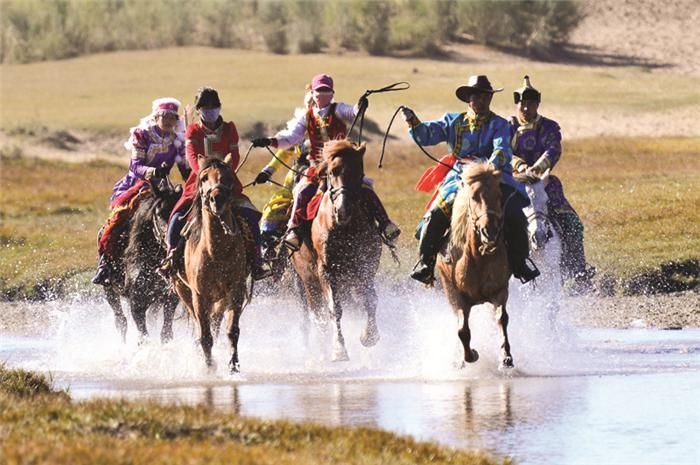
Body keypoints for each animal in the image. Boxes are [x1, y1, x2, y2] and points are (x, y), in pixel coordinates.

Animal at [102, 179, 183, 342]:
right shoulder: (137, 303)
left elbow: (166, 333)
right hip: (109, 290)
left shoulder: (170, 298)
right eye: (159, 213)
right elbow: (143, 337)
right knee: (121, 321)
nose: (173, 241)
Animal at [174, 156, 250, 374]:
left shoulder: (235, 290)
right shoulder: (199, 296)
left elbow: (232, 330)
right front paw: (209, 368)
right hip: (184, 292)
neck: (216, 252)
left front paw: (233, 366)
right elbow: (205, 336)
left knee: (216, 323)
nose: (218, 199)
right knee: (200, 327)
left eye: (228, 177)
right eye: (204, 178)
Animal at [292, 140, 382, 360]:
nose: (343, 210)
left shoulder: (366, 267)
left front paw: (369, 335)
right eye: (332, 172)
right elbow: (335, 308)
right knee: (317, 315)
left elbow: (370, 300)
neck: (345, 228)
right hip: (308, 281)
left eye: (359, 171)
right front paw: (339, 349)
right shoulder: (326, 271)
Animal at [438, 161, 516, 368]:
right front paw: (470, 355)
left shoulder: (499, 289)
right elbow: (462, 330)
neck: (477, 258)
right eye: (473, 197)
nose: (490, 231)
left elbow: (501, 318)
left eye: (499, 195)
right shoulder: (457, 295)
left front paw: (506, 356)